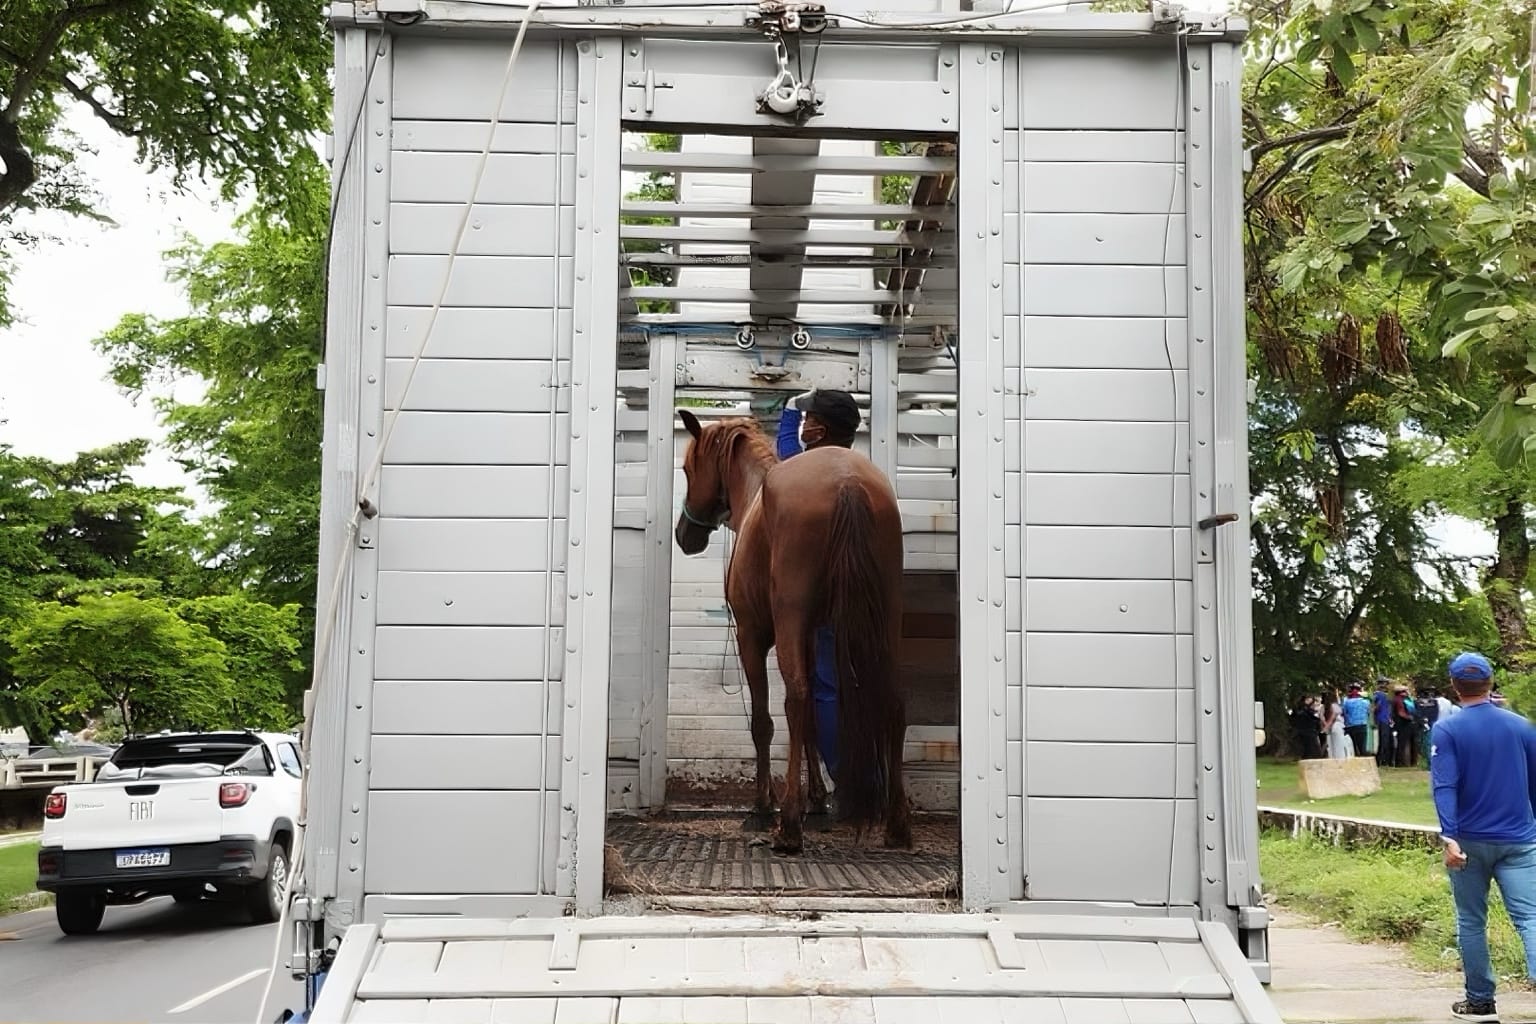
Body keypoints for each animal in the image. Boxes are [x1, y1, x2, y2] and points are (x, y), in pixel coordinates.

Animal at [672, 409, 912, 855]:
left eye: (688, 468)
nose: (685, 535)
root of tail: (847, 480)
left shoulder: (753, 637)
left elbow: (764, 721)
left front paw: (764, 807)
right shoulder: (811, 634)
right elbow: (816, 718)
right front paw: (816, 802)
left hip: (790, 620)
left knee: (796, 698)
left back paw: (787, 827)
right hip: (886, 616)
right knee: (893, 699)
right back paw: (897, 824)